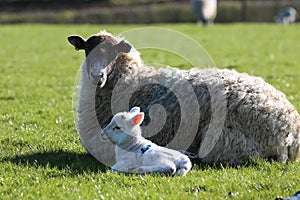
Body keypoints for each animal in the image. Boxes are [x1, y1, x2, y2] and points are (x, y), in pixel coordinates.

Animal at [68, 30, 300, 166]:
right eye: (87, 49)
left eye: (112, 53)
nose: (97, 75)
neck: (129, 79)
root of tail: (291, 132)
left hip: (226, 142)